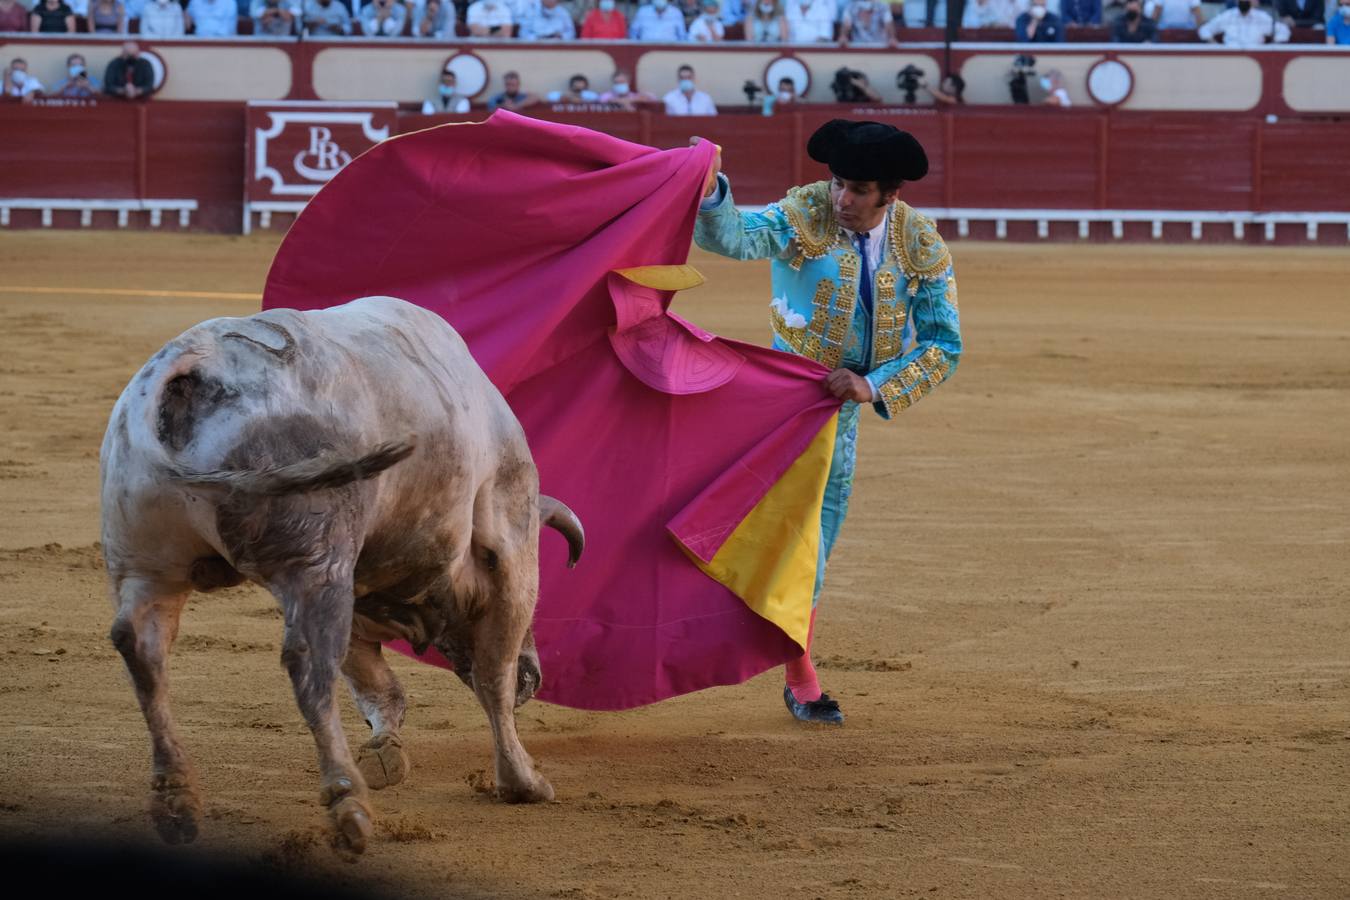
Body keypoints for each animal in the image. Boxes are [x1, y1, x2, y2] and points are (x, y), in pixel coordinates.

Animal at [95, 299, 580, 858]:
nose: (534, 675)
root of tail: (186, 362)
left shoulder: (360, 591)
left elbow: (379, 687)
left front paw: (387, 754)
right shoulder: (511, 548)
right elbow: (492, 678)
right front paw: (523, 781)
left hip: (146, 567)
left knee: (143, 650)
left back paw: (176, 801)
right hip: (315, 561)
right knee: (308, 662)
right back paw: (348, 803)